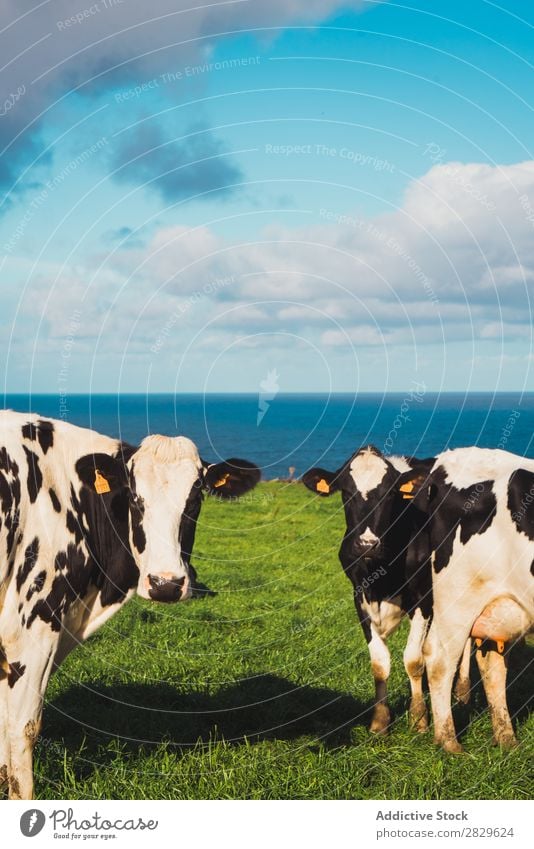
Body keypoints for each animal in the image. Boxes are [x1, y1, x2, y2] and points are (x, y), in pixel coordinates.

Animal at [306, 450, 474, 736]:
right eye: (347, 492)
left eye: (390, 495)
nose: (366, 544)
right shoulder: (359, 597)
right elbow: (379, 662)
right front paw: (380, 720)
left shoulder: (423, 598)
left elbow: (414, 660)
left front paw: (419, 718)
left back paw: (462, 690)